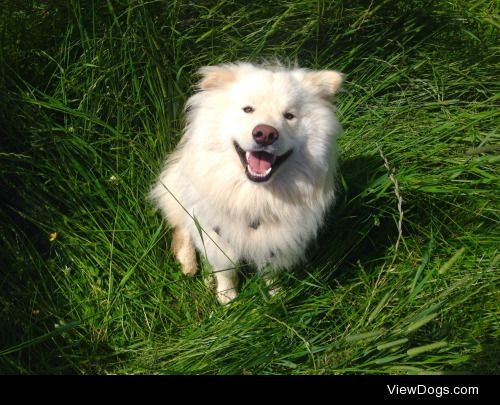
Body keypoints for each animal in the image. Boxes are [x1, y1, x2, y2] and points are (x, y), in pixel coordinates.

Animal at [150, 62, 342, 304]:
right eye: (248, 109)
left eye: (289, 116)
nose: (266, 134)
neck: (255, 196)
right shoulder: (217, 235)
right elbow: (226, 270)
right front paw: (227, 299)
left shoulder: (277, 239)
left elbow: (270, 270)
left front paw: (276, 295)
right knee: (181, 228)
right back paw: (189, 264)